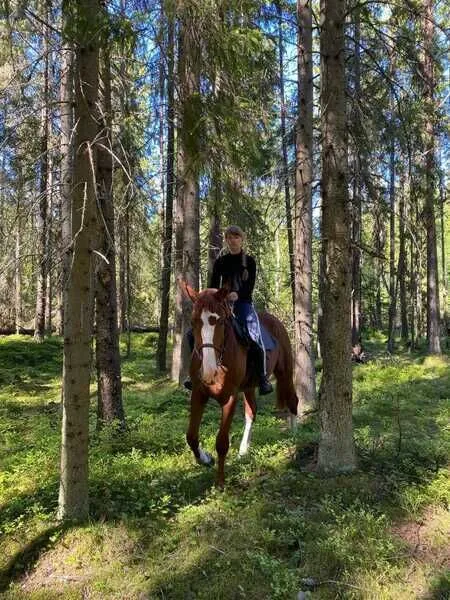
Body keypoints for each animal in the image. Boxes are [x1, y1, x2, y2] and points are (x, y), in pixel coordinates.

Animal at [183, 284, 298, 487]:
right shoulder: (198, 393)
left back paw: (295, 435)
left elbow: (222, 442)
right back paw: (244, 450)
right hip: (249, 386)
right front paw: (205, 459)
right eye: (194, 321)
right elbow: (191, 436)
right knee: (252, 411)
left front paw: (220, 482)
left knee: (292, 398)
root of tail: (276, 321)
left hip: (285, 372)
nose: (209, 371)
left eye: (220, 321)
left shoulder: (230, 397)